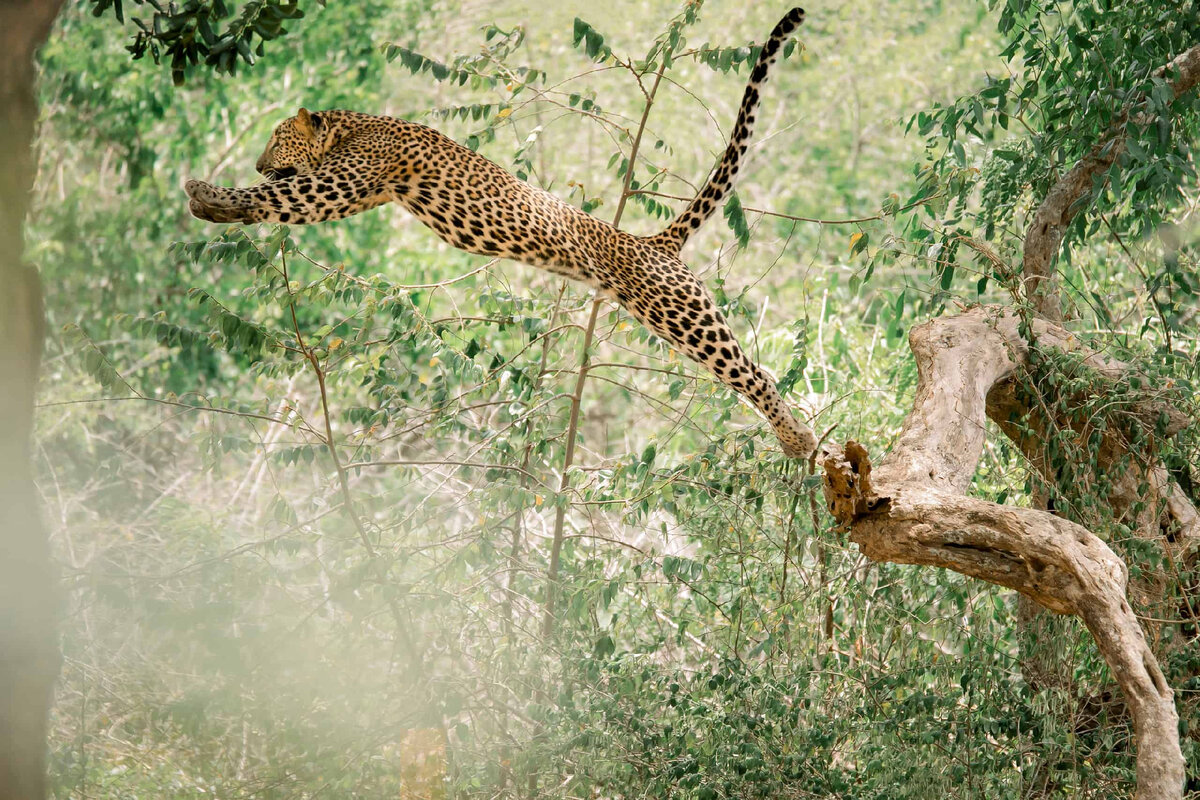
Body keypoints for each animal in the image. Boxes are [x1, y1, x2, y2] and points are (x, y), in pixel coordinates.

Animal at [187, 6, 820, 460]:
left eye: (277, 138)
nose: (258, 160)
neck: (352, 128)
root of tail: (651, 243)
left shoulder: (340, 183)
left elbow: (275, 199)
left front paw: (207, 194)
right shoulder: (355, 189)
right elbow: (274, 205)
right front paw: (216, 207)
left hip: (680, 311)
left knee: (754, 373)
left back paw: (800, 440)